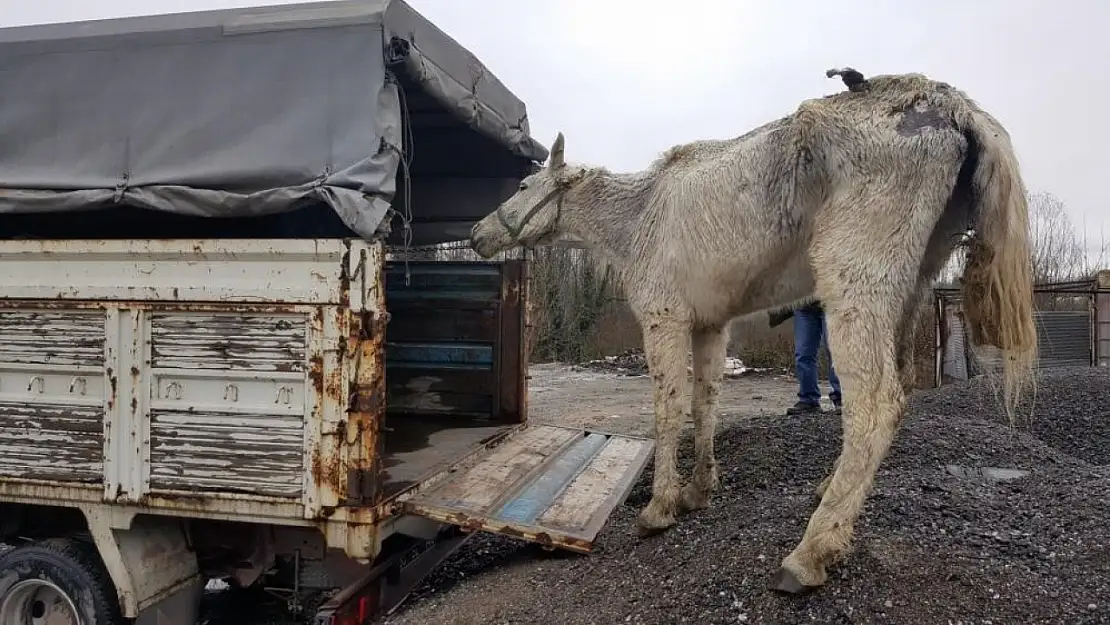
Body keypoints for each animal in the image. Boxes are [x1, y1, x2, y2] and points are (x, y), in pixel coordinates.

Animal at [466, 71, 1030, 595]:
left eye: (522, 188)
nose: (476, 234)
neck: (639, 215)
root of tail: (952, 106)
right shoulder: (710, 325)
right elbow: (705, 402)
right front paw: (698, 490)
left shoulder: (664, 318)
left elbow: (668, 407)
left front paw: (660, 506)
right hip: (913, 284)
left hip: (856, 284)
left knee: (875, 404)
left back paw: (812, 550)